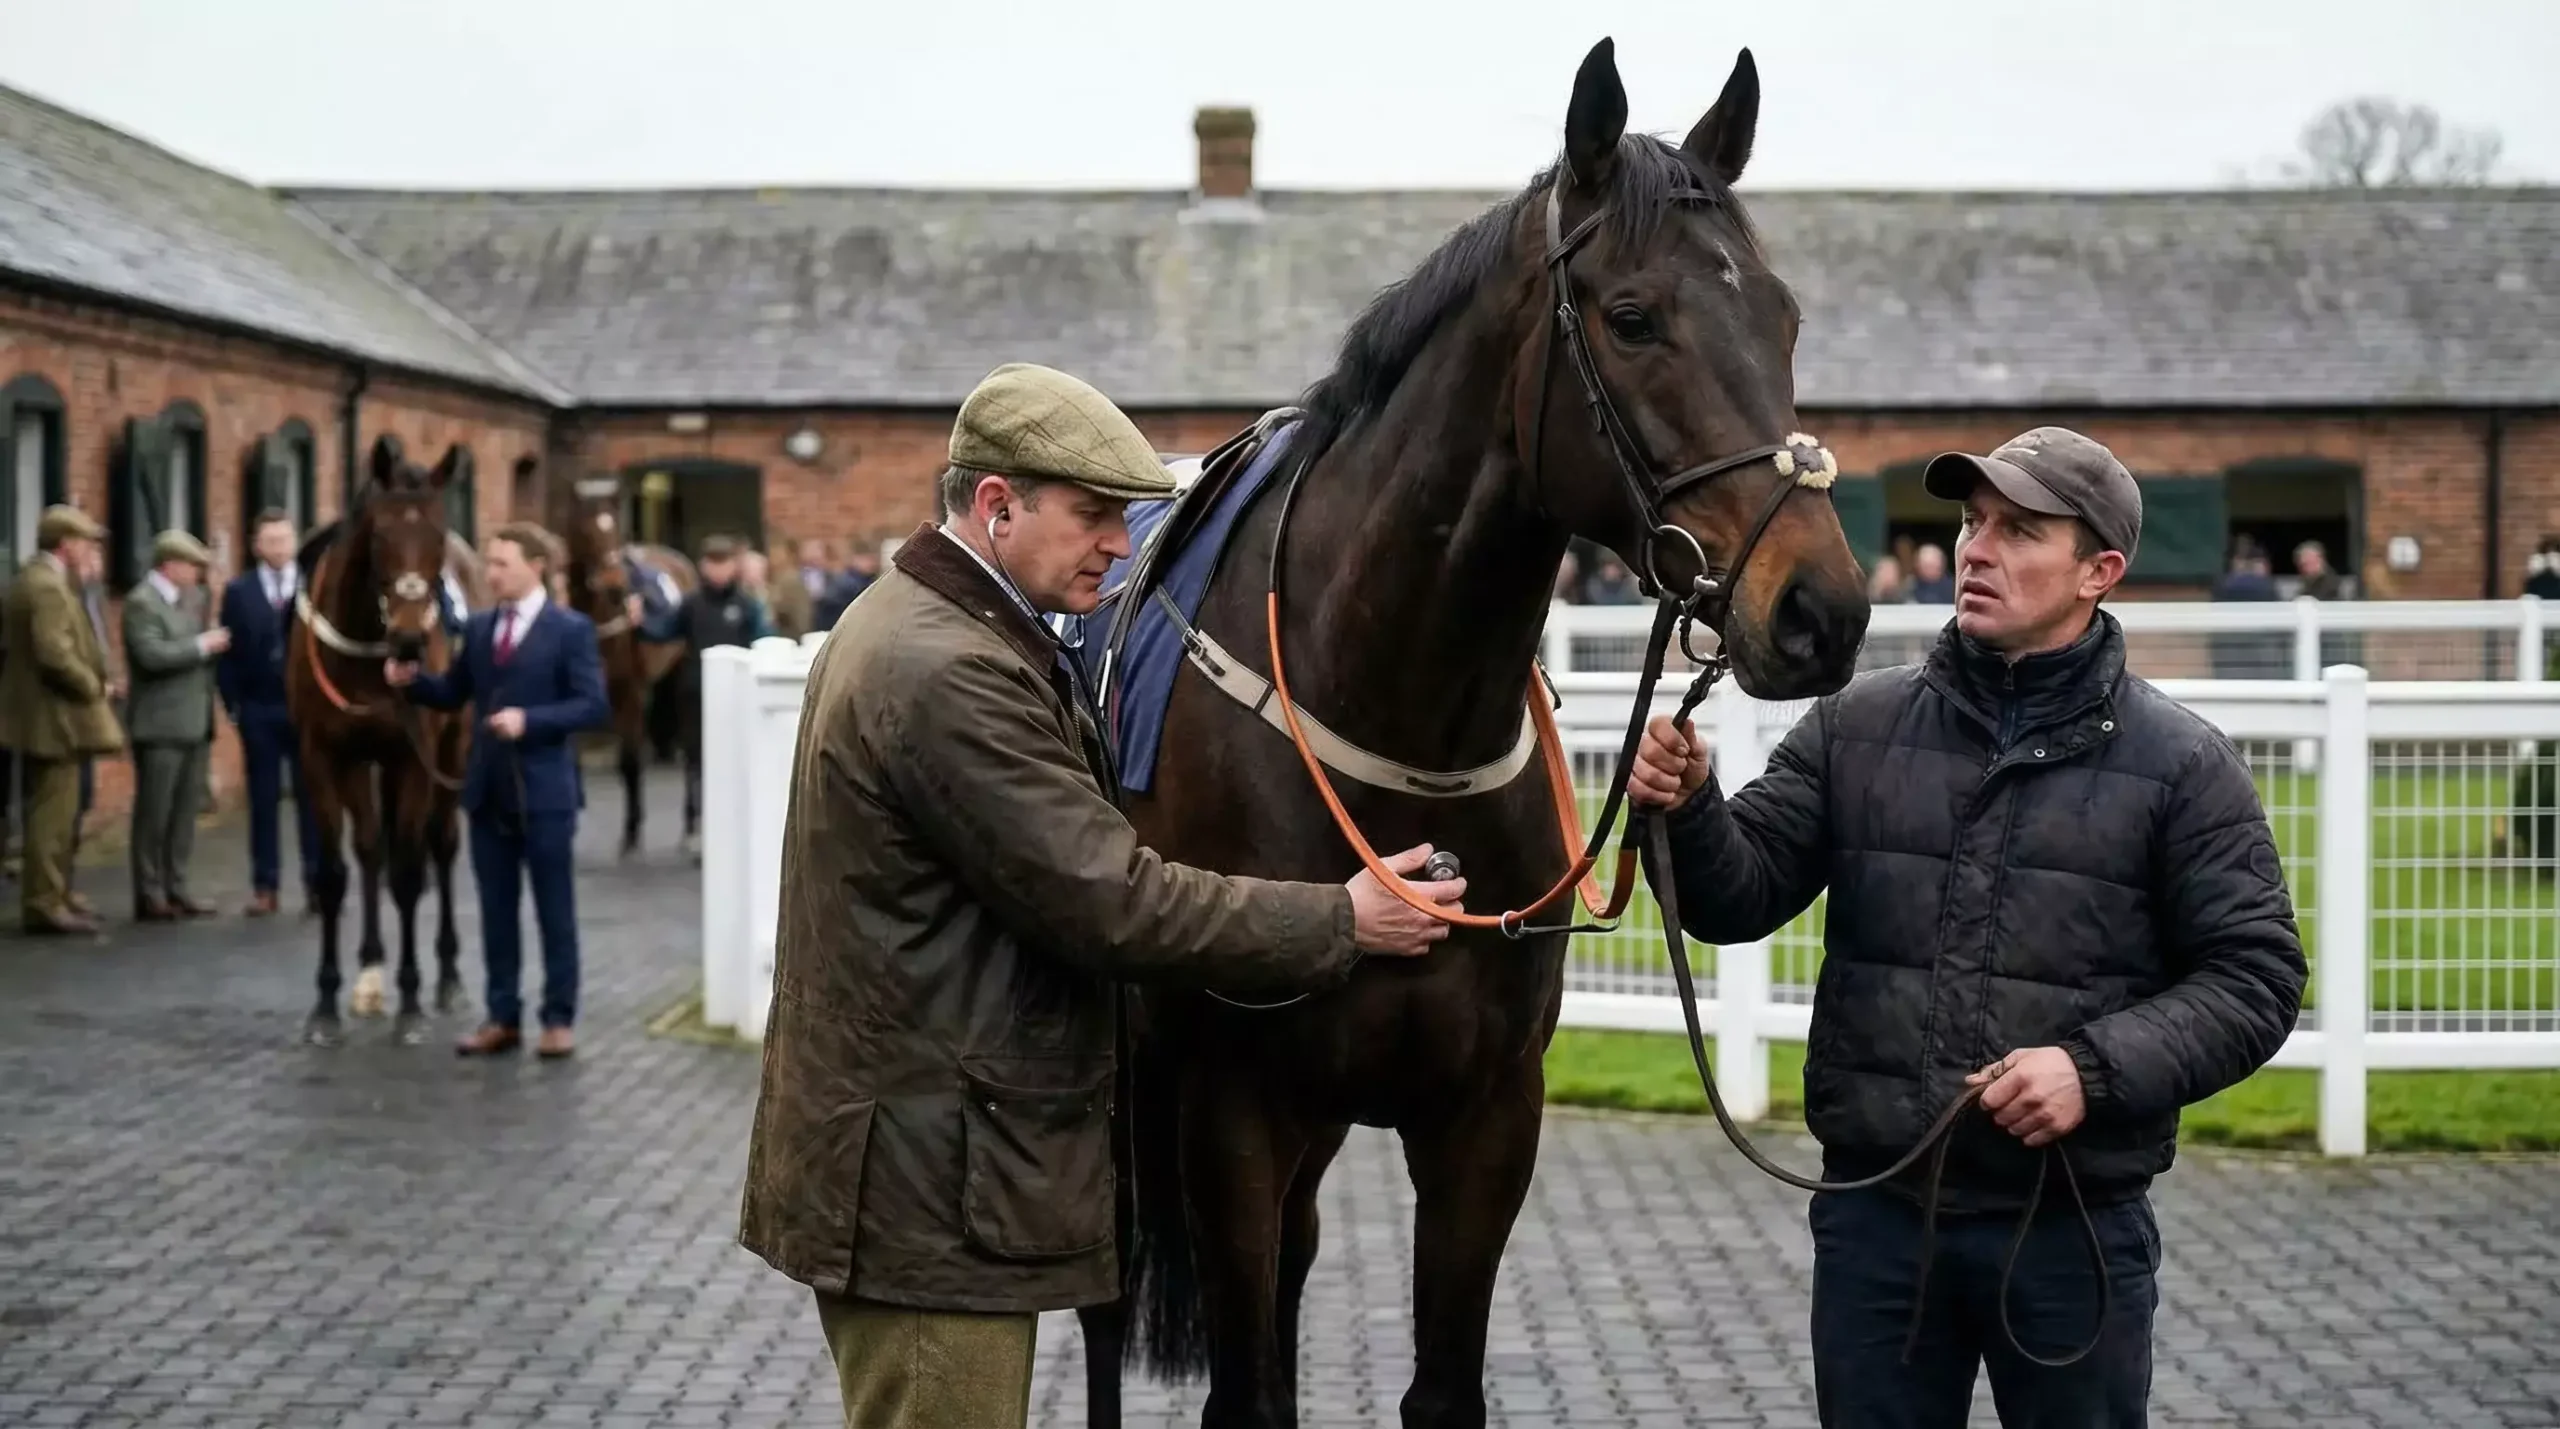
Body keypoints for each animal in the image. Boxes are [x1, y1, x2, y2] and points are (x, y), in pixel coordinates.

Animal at [285, 437, 489, 1047]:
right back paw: (371, 973)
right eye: (379, 535)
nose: (409, 638)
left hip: (452, 749)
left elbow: (408, 873)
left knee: (439, 847)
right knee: (372, 848)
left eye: (438, 536)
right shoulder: (323, 755)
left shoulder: (412, 759)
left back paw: (445, 977)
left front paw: (412, 1000)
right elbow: (336, 874)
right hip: (362, 763)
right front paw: (327, 1002)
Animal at [556, 477, 698, 857]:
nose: (614, 584)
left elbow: (630, 760)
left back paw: (691, 824)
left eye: (616, 524)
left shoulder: (629, 692)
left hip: (679, 675)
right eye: (583, 525)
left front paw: (632, 831)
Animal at [1075, 40, 1871, 1428]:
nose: (1818, 610)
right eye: (1632, 317)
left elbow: (1436, 1382)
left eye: (1780, 317)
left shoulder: (1487, 1113)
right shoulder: (1236, 1107)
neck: (1398, 721)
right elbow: (1246, 1388)